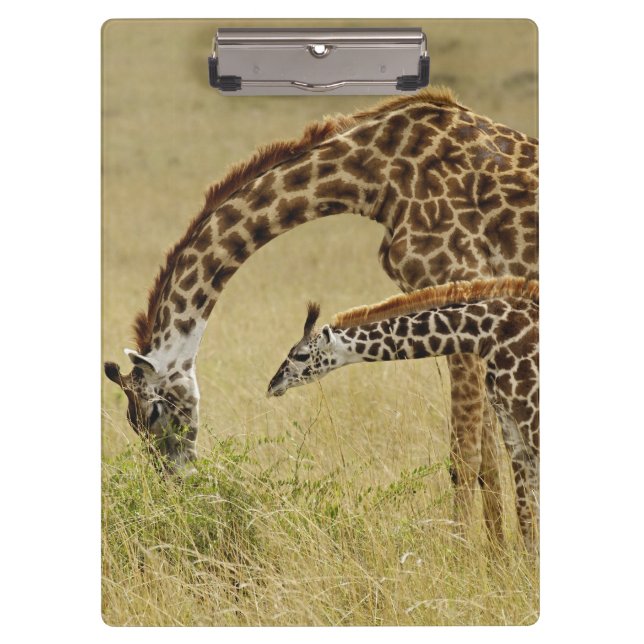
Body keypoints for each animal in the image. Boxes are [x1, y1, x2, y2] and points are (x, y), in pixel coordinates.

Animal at [267, 277, 539, 552]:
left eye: (301, 355)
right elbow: (525, 506)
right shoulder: (510, 421)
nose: (272, 385)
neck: (488, 333)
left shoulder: (530, 413)